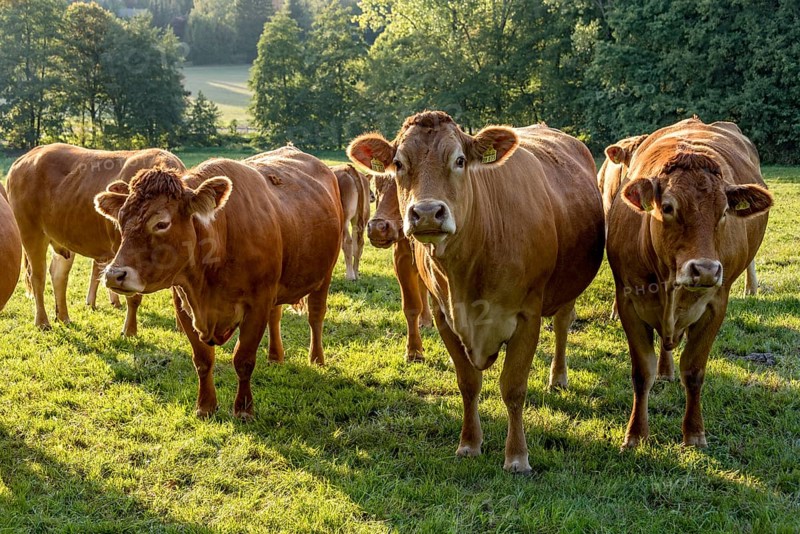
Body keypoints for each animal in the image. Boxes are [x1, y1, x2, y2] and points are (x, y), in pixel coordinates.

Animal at [6, 143, 185, 335]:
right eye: (122, 218)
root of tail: (28, 156)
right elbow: (134, 296)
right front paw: (129, 331)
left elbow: (179, 294)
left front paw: (182, 328)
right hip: (31, 232)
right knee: (37, 277)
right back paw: (42, 322)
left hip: (62, 237)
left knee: (58, 274)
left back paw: (63, 317)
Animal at [94, 147, 343, 419]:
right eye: (120, 220)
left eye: (161, 223)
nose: (114, 274)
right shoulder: (183, 303)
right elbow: (202, 360)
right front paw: (205, 406)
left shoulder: (258, 303)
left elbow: (243, 359)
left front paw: (243, 409)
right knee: (276, 315)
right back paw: (275, 356)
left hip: (325, 275)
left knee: (316, 316)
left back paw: (317, 358)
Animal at [606, 117, 772, 450]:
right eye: (668, 207)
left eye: (724, 211)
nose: (705, 270)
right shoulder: (629, 301)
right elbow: (641, 372)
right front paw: (636, 433)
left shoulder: (715, 306)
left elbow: (694, 371)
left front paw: (694, 433)